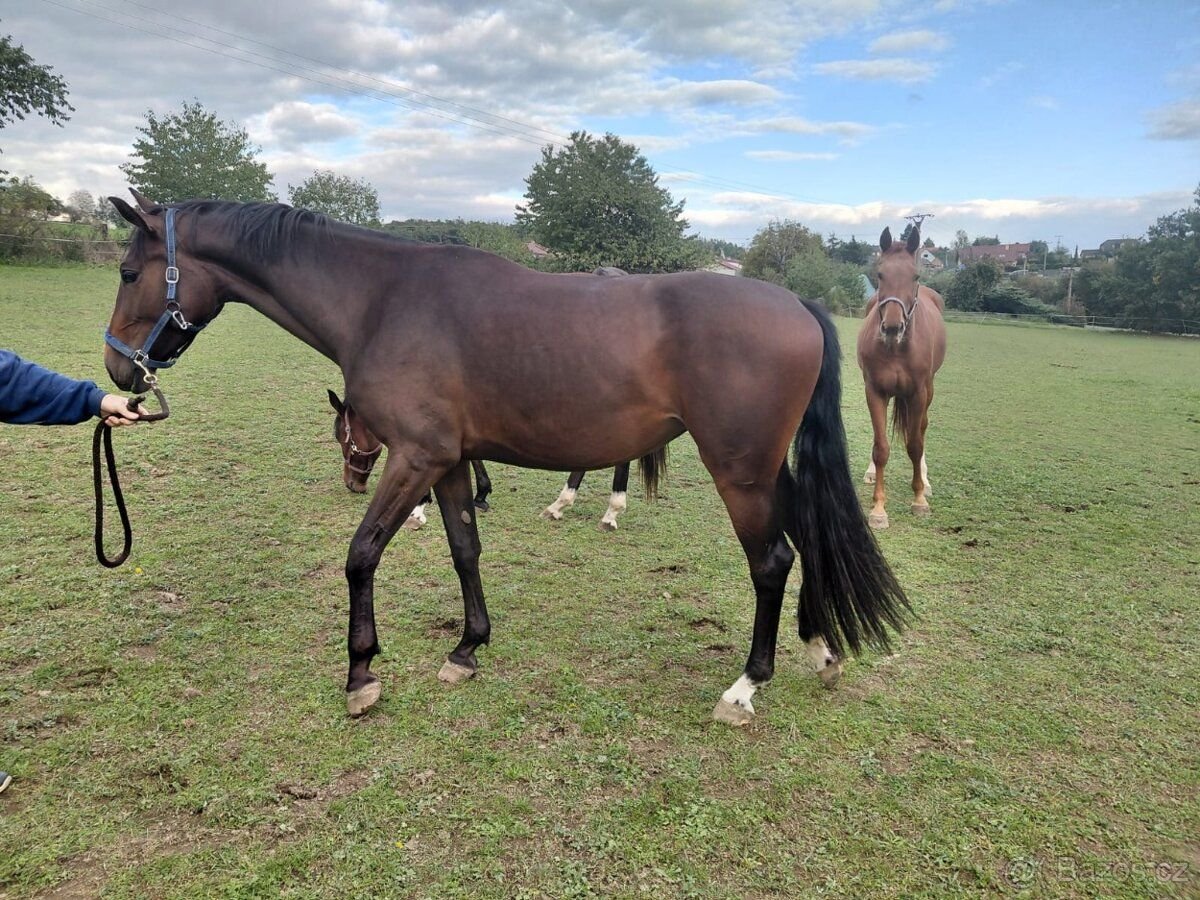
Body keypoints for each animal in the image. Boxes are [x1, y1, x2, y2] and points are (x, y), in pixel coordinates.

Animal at [856, 226, 947, 529]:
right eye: (880, 274)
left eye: (915, 276)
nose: (892, 328)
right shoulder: (874, 391)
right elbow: (881, 447)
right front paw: (878, 509)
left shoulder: (918, 393)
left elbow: (915, 445)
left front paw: (919, 500)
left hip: (928, 391)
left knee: (921, 429)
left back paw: (925, 482)